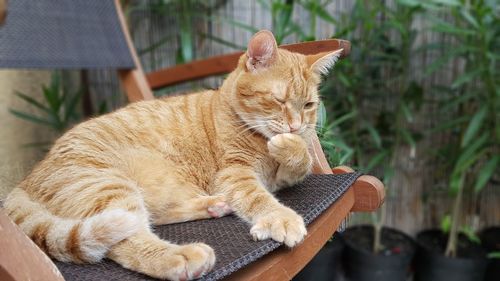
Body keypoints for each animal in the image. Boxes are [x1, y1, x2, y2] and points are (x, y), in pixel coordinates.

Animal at [3, 29, 342, 278]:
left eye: (308, 105)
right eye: (279, 100)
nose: (296, 125)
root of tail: (25, 180)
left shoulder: (280, 177)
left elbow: (300, 160)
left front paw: (291, 144)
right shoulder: (234, 174)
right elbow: (258, 198)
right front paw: (279, 217)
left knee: (153, 215)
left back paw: (213, 207)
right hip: (109, 187)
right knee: (127, 241)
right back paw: (181, 256)